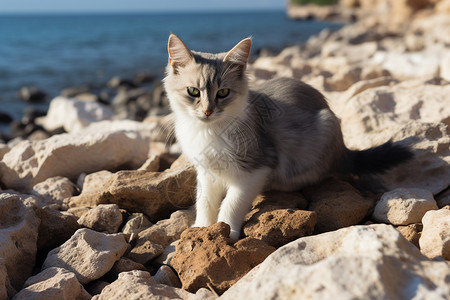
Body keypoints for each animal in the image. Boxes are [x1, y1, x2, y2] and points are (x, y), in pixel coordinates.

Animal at [163, 33, 414, 239]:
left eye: (223, 93)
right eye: (193, 92)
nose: (208, 111)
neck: (209, 131)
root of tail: (344, 151)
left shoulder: (256, 167)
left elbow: (231, 203)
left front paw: (226, 231)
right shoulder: (206, 171)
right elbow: (204, 202)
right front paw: (202, 228)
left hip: (323, 132)